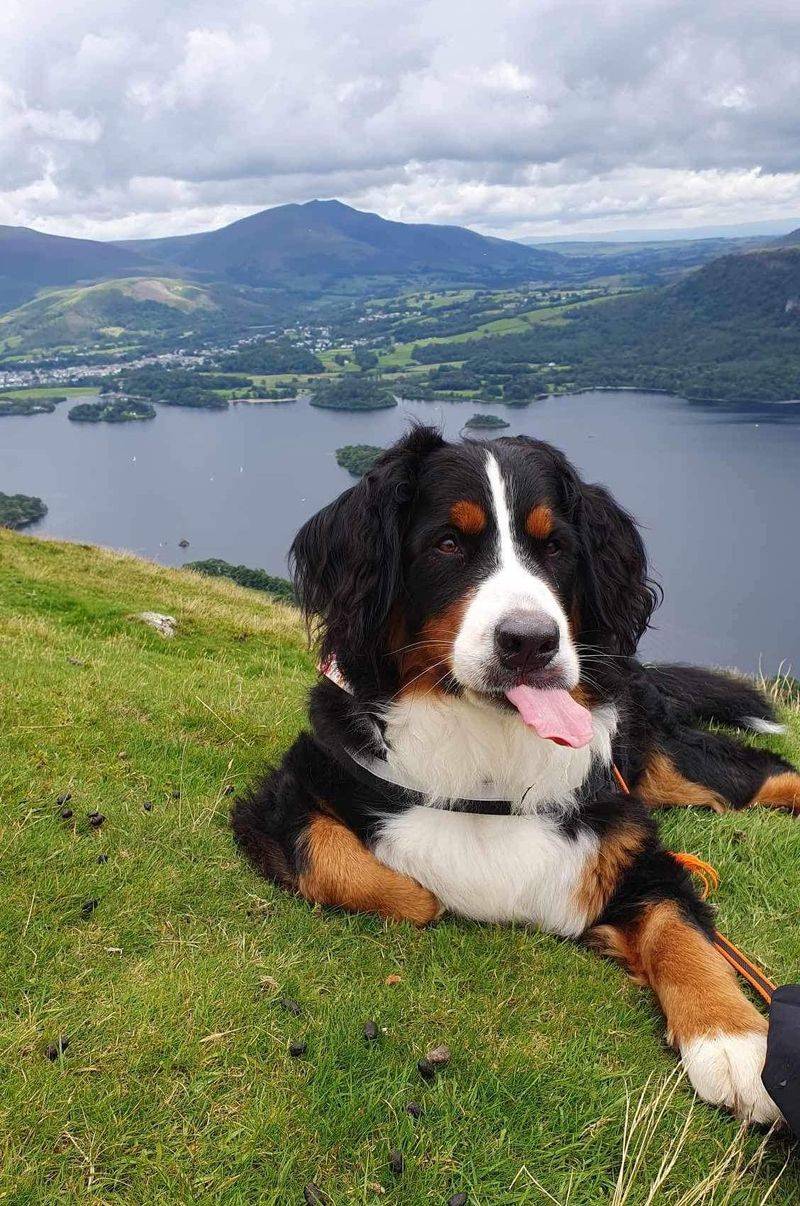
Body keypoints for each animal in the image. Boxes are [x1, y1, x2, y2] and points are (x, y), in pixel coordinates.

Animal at [232, 429, 800, 1123]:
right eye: (449, 543)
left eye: (555, 547)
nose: (531, 641)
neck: (487, 756)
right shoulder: (287, 793)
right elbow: (370, 877)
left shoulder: (630, 840)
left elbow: (681, 931)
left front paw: (735, 1042)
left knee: (765, 773)